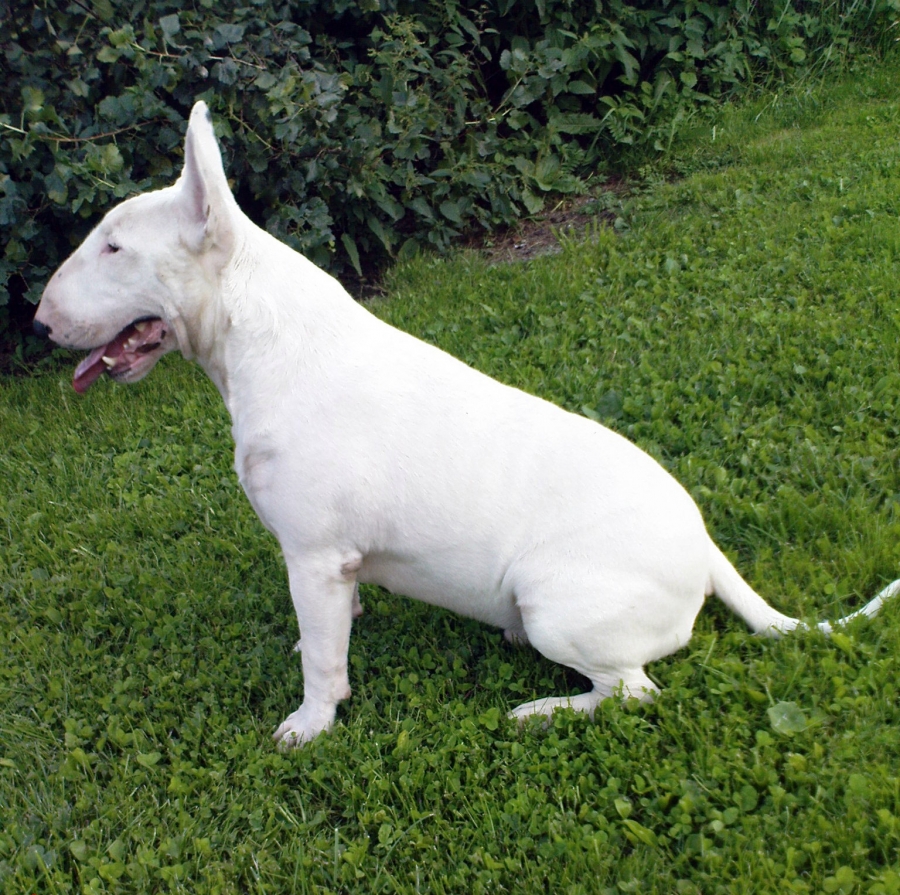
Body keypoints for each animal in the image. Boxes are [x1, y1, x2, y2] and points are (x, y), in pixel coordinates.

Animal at [34, 102, 899, 747]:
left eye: (114, 247)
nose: (39, 322)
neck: (261, 341)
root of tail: (708, 551)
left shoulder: (313, 554)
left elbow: (324, 665)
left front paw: (309, 724)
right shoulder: (329, 567)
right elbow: (331, 626)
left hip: (554, 599)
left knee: (634, 690)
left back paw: (541, 711)